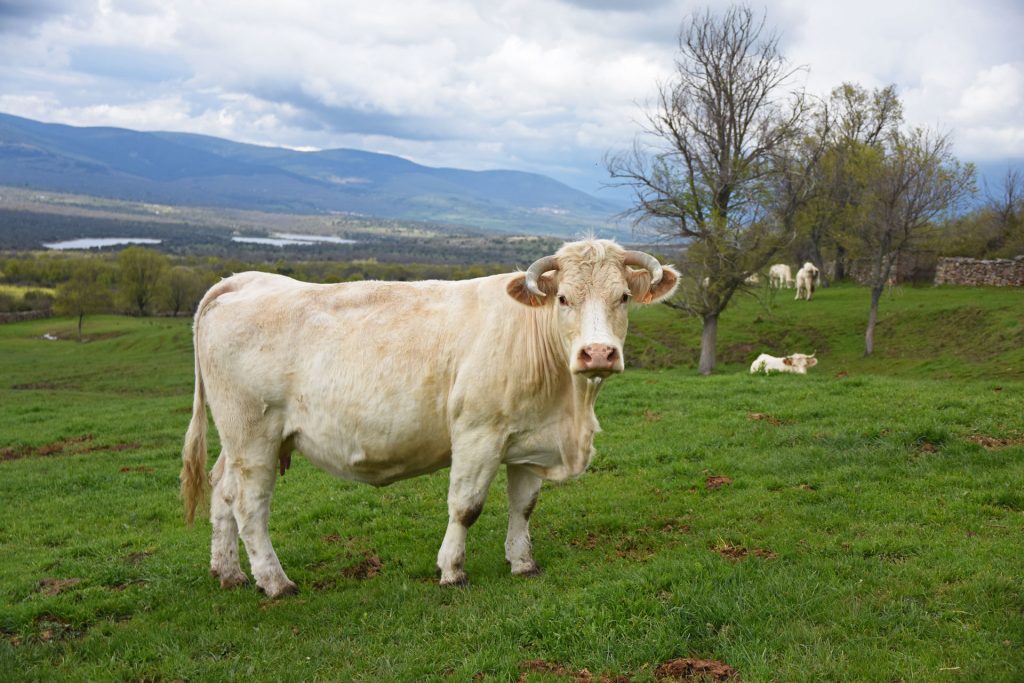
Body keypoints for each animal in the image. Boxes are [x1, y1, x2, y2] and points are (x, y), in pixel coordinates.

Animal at [180, 239, 679, 597]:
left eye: (623, 297)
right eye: (563, 298)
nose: (598, 353)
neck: (568, 408)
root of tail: (244, 281)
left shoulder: (528, 441)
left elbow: (523, 506)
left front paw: (523, 563)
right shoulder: (478, 433)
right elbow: (466, 506)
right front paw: (453, 570)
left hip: (239, 440)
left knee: (223, 491)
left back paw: (228, 572)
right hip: (253, 435)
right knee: (249, 505)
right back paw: (275, 582)